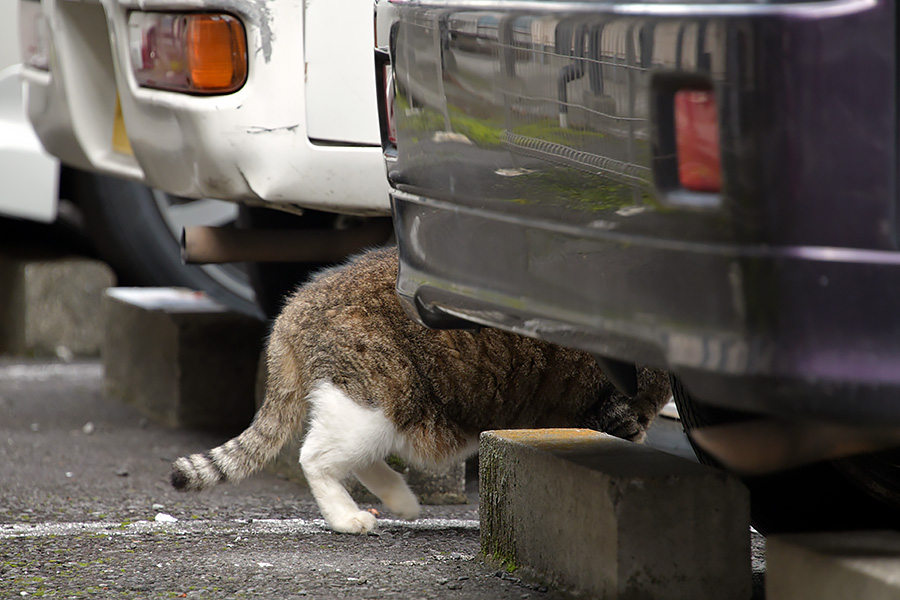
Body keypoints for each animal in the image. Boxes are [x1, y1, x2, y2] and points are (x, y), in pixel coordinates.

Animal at [172, 247, 672, 536]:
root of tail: (296, 303)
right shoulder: (619, 414)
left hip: (377, 409)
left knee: (358, 458)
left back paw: (401, 500)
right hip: (374, 398)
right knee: (315, 457)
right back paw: (348, 517)